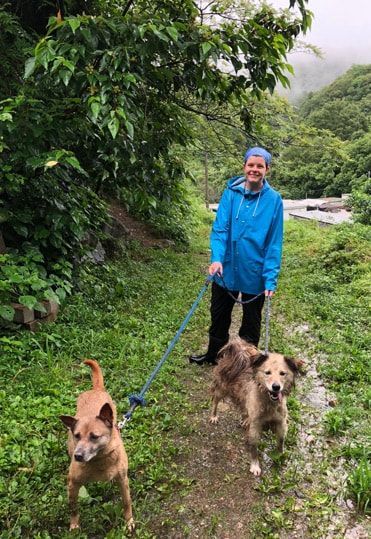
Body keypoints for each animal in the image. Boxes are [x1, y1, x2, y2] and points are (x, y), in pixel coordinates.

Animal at [60, 360, 136, 532]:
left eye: (94, 436)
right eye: (77, 436)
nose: (78, 456)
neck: (99, 461)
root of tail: (96, 389)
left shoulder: (123, 480)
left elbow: (126, 502)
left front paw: (129, 522)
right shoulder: (72, 484)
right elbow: (73, 508)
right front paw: (74, 525)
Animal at [211, 342, 304, 476]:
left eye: (282, 373)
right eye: (267, 372)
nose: (276, 387)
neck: (269, 403)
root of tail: (238, 350)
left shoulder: (281, 422)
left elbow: (281, 441)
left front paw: (280, 456)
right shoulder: (256, 426)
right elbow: (254, 447)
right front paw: (255, 465)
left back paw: (245, 419)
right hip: (222, 389)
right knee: (215, 400)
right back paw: (213, 416)